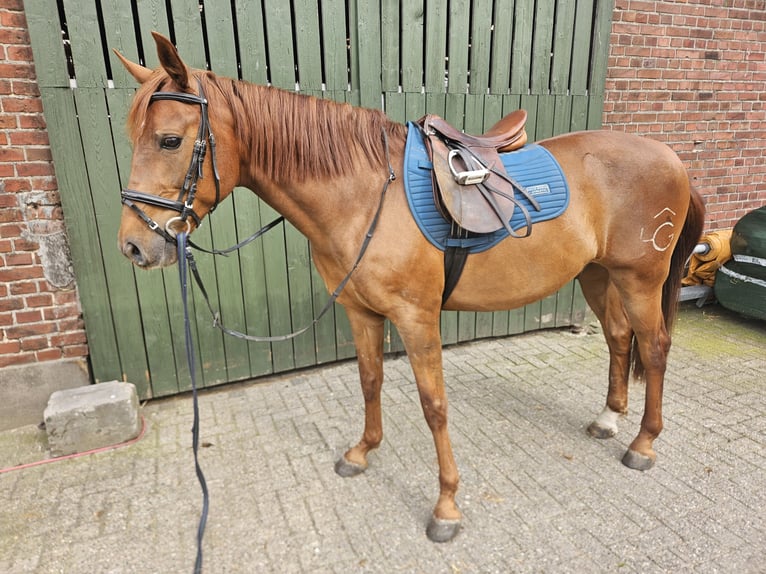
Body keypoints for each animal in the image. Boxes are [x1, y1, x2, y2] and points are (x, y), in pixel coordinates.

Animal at [115, 35, 708, 544]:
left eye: (170, 140)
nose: (134, 247)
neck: (363, 196)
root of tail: (671, 159)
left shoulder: (417, 318)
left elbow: (434, 406)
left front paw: (446, 506)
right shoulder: (360, 311)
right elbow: (370, 382)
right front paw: (362, 452)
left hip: (640, 280)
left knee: (654, 348)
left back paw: (643, 443)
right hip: (597, 275)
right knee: (618, 339)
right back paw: (609, 419)